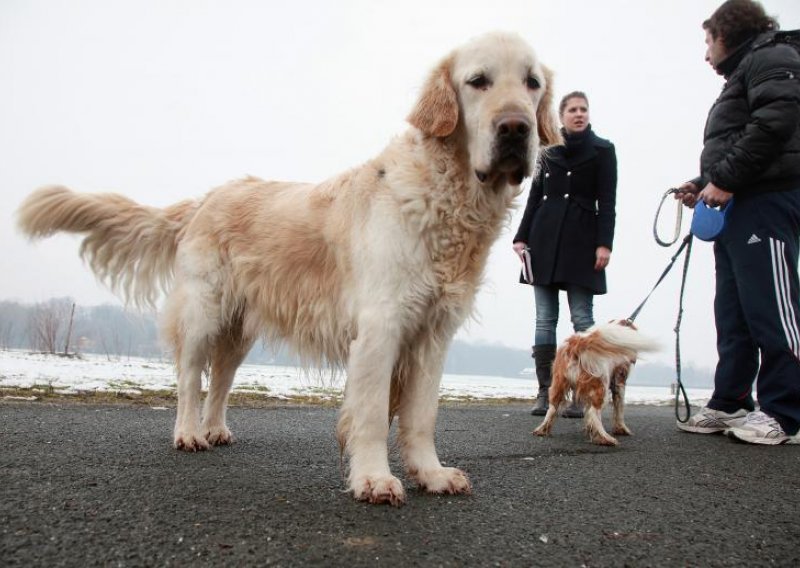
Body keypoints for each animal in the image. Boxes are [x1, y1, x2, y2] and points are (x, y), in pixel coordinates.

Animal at [15, 31, 560, 504]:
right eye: (478, 80)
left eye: (531, 82)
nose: (516, 128)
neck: (444, 194)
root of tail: (206, 198)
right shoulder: (381, 327)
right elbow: (368, 415)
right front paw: (373, 479)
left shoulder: (433, 334)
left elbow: (420, 415)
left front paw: (431, 473)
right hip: (203, 312)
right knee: (191, 379)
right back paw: (189, 433)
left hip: (239, 329)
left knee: (222, 380)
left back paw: (215, 429)